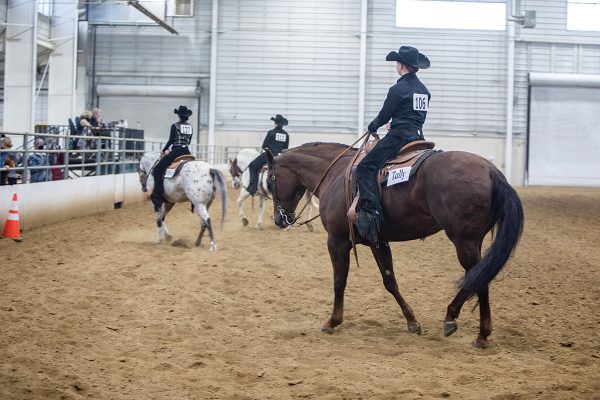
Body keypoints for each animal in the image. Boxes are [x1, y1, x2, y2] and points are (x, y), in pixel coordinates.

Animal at [264, 143, 524, 346]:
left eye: (269, 181)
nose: (280, 219)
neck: (335, 175)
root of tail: (490, 169)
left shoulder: (337, 241)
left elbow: (339, 281)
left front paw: (332, 321)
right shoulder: (378, 241)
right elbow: (390, 281)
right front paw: (412, 322)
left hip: (465, 243)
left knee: (478, 278)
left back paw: (461, 322)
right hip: (473, 242)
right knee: (481, 277)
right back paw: (478, 332)